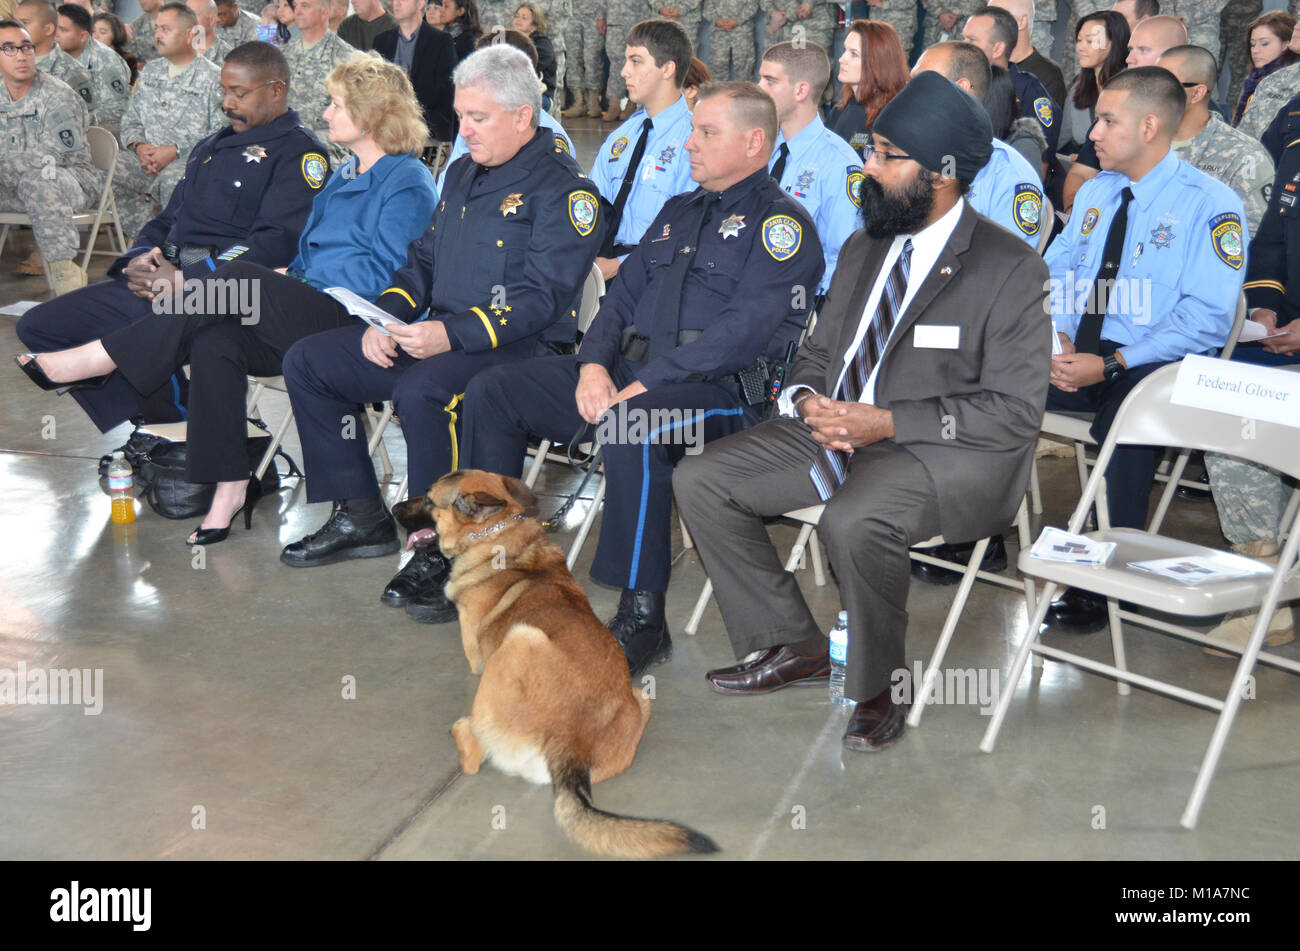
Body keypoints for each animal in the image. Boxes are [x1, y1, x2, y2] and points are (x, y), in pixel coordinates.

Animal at [392, 472, 722, 857]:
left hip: (520, 638)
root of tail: (572, 741)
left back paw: (462, 728)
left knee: (473, 755)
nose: (394, 508)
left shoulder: (478, 658)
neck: (496, 533)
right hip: (641, 696)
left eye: (429, 500)